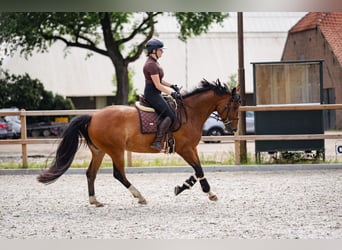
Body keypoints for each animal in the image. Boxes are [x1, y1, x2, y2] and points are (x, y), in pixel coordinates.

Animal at [36, 79, 240, 206]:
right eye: (234, 105)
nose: (233, 129)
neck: (190, 112)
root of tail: (92, 116)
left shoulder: (191, 148)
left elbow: (197, 170)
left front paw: (183, 187)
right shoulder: (185, 149)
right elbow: (199, 169)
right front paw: (208, 193)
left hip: (99, 151)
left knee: (90, 173)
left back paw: (95, 201)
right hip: (116, 150)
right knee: (118, 174)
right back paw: (140, 196)